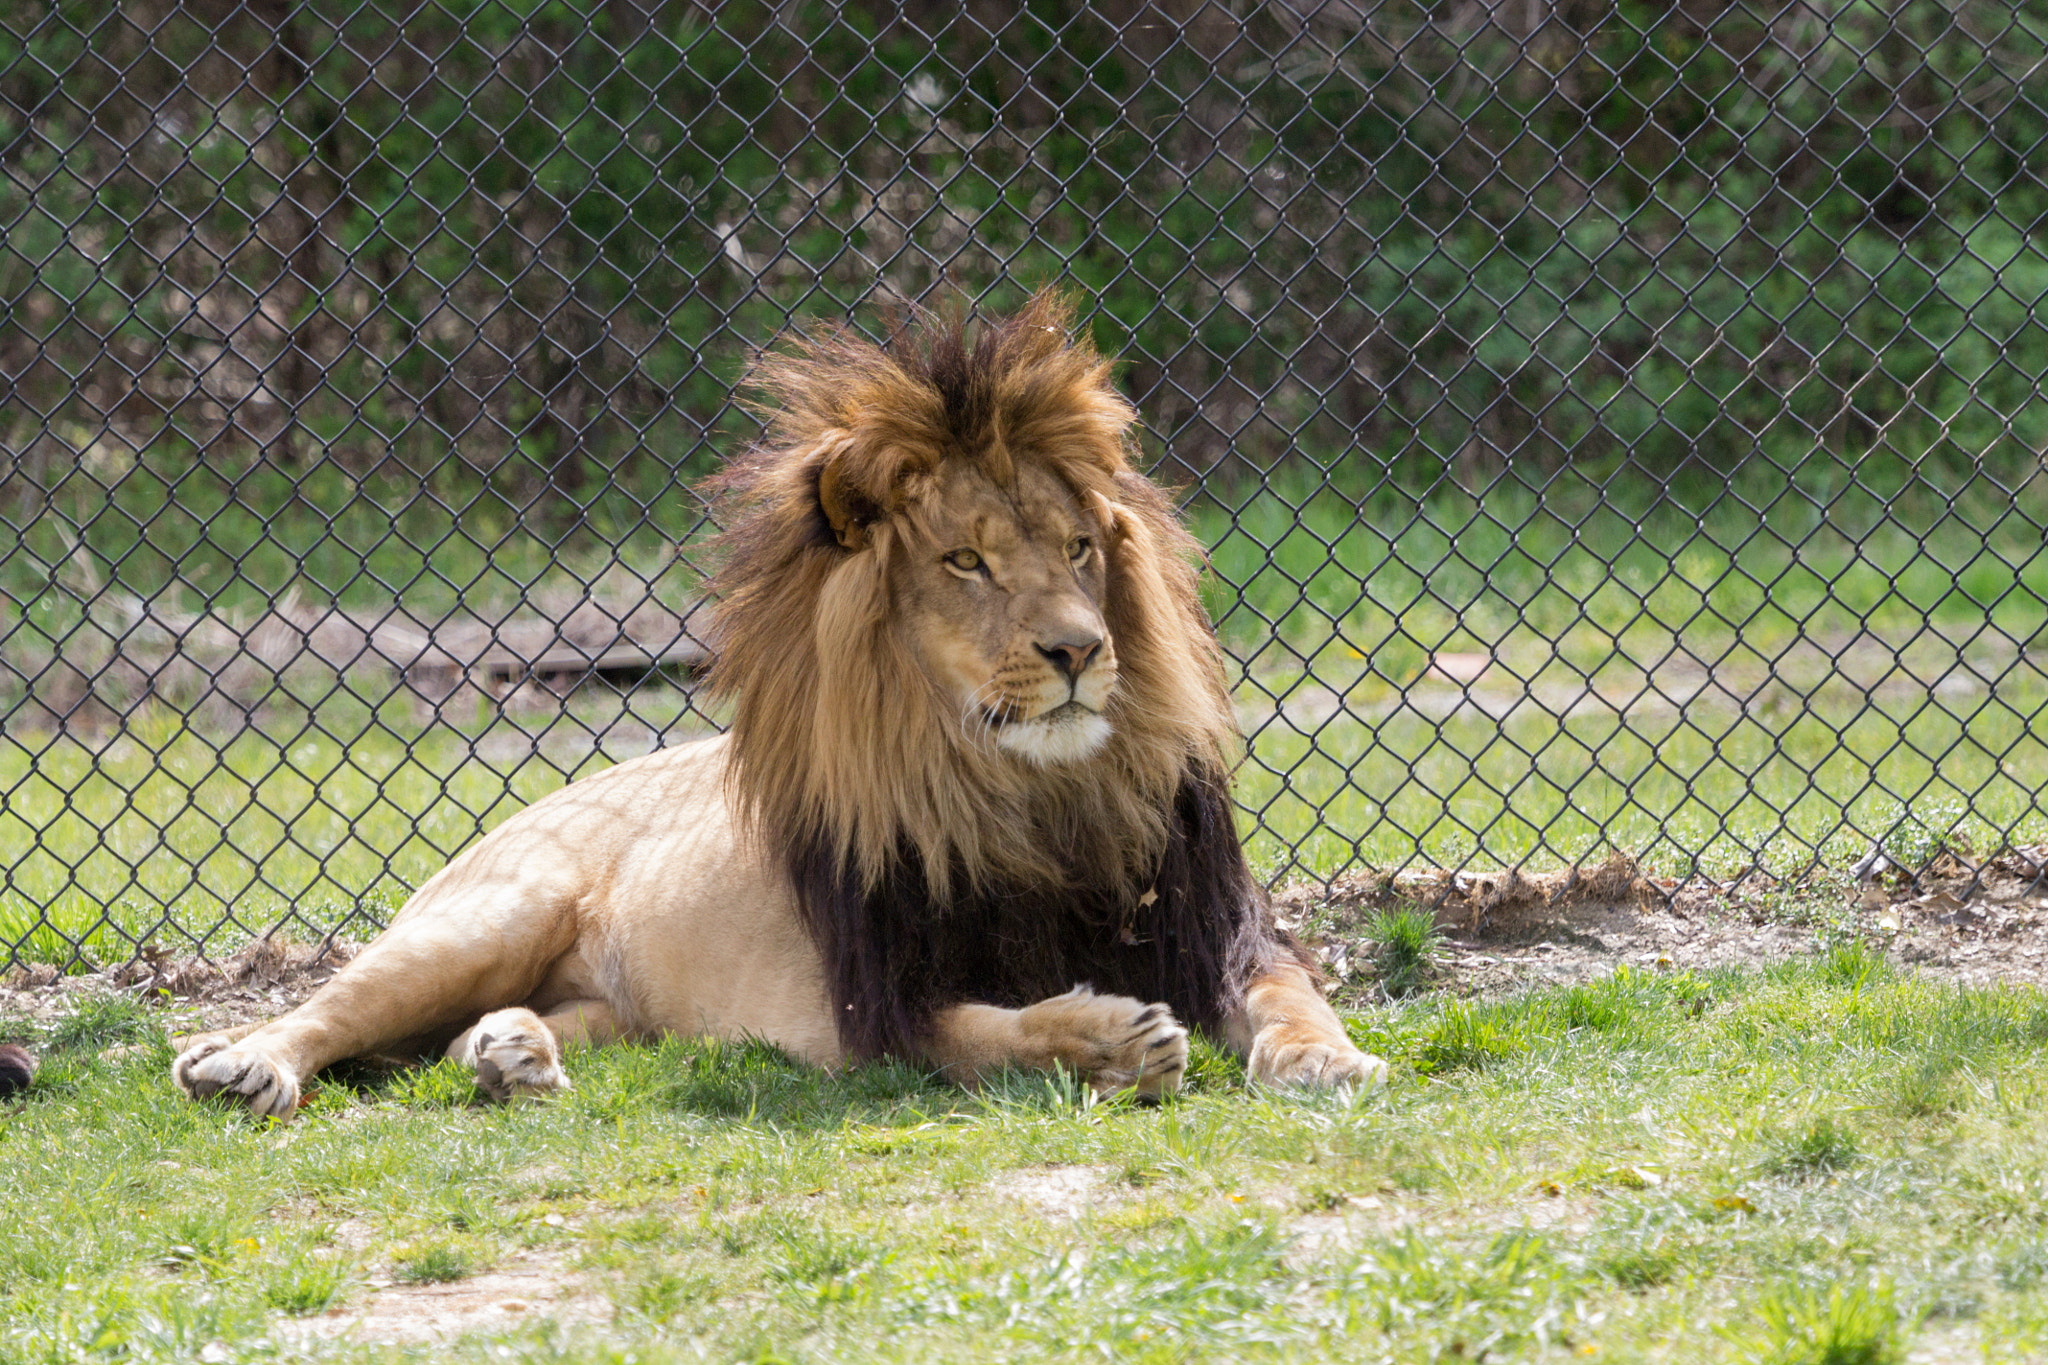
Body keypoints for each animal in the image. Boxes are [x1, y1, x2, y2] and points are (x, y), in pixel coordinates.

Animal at [171, 292, 1388, 1118]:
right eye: (965, 562)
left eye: (1080, 548)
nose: (1081, 650)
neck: (1029, 791)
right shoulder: (877, 1005)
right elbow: (989, 1036)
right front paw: (1112, 1040)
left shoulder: (1220, 927)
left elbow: (1292, 994)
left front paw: (1327, 1058)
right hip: (490, 916)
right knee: (333, 1010)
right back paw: (244, 1061)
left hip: (623, 1011)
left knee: (485, 1034)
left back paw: (508, 1054)